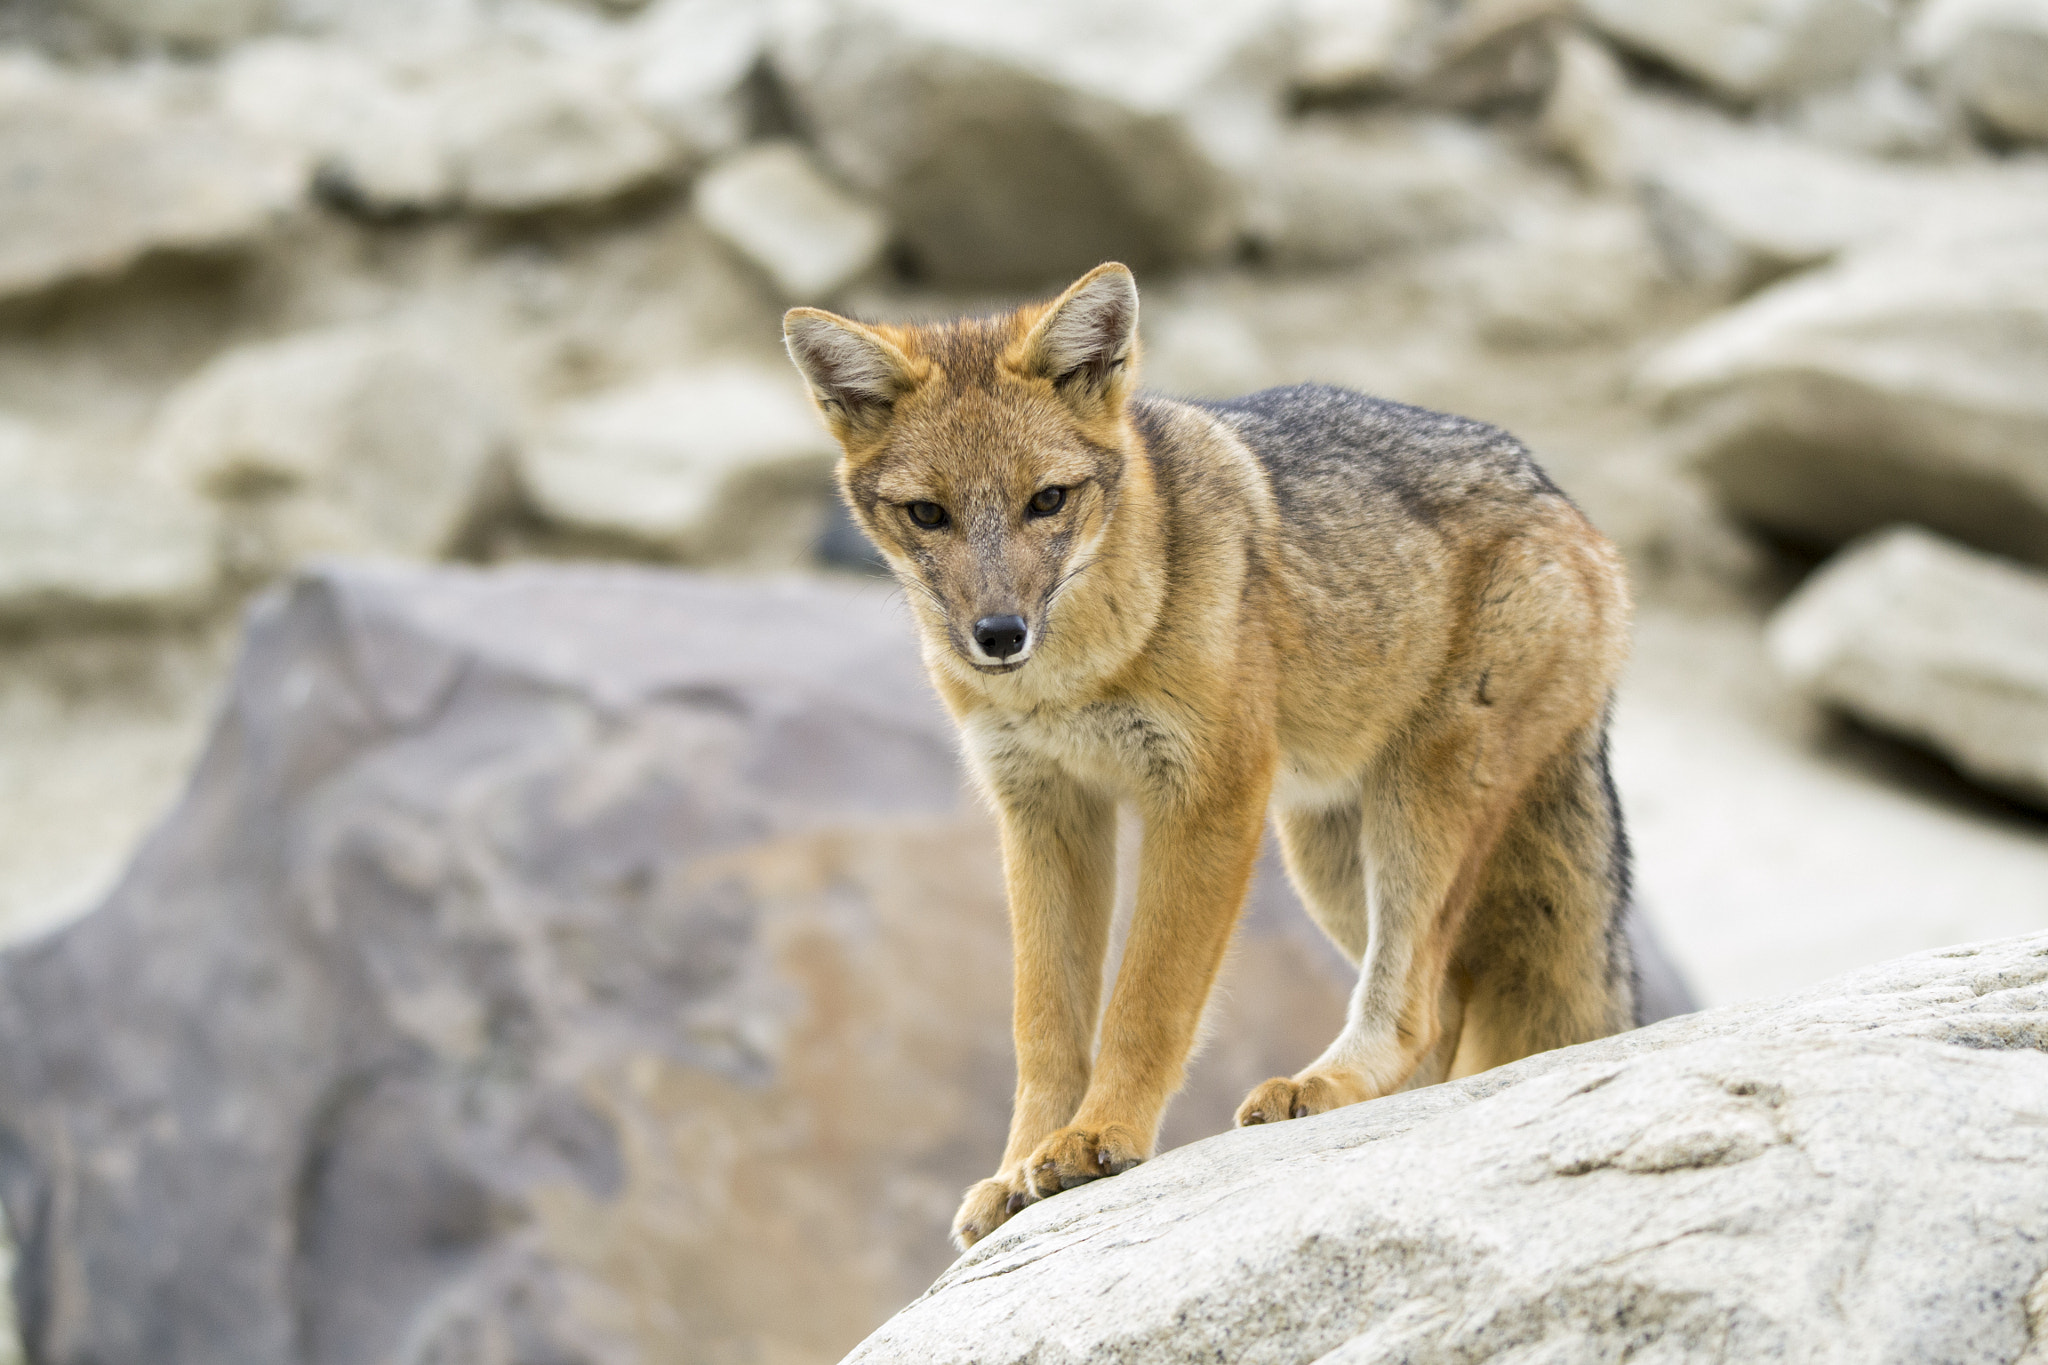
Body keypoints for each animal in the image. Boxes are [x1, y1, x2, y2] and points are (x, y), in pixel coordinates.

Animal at [783, 263, 1636, 1251]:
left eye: (1048, 500)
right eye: (929, 514)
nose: (998, 635)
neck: (1073, 680)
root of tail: (1561, 499)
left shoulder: (1207, 799)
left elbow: (1148, 1000)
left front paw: (1099, 1139)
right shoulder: (1044, 812)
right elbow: (1044, 1025)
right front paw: (1015, 1171)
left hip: (1415, 812)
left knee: (1415, 1002)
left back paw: (1320, 1085)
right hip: (1330, 859)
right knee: (1446, 999)